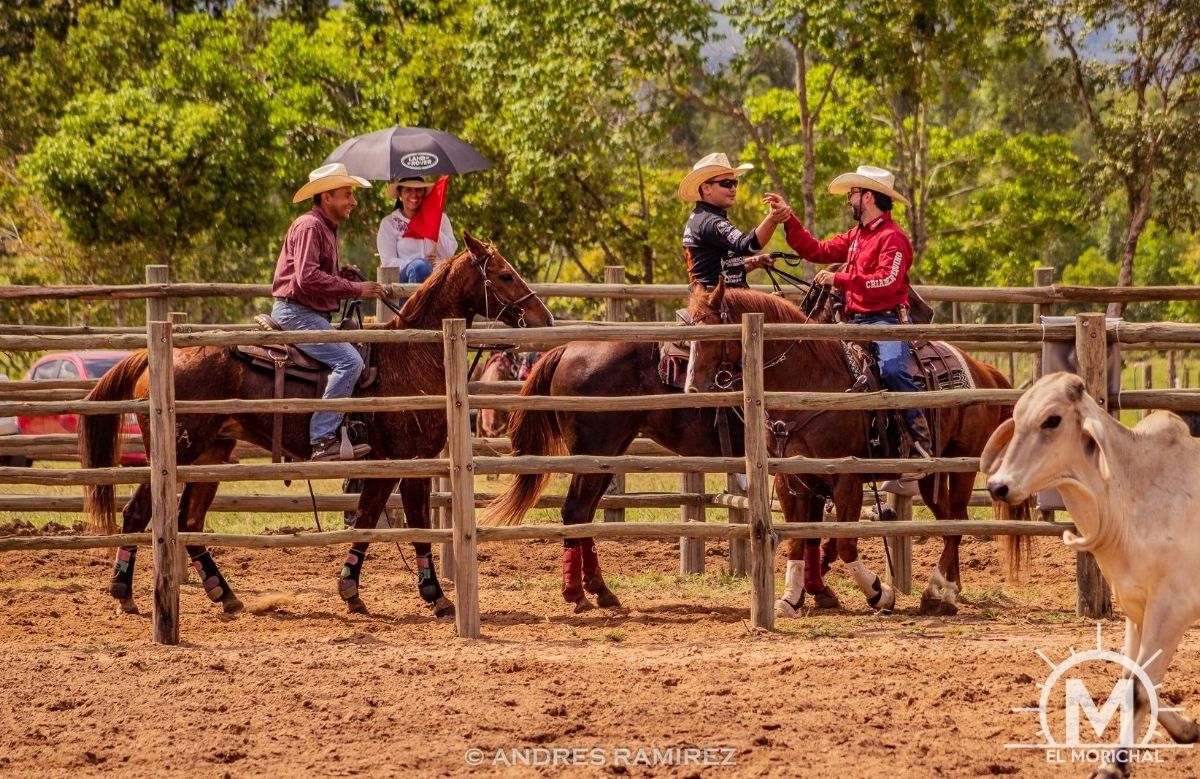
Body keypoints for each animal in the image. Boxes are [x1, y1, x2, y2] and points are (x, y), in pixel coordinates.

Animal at [79, 236, 552, 619]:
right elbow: (413, 522)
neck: (409, 354)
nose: (543, 317)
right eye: (505, 274)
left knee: (189, 521)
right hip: (181, 449)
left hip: (213, 452)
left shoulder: (388, 463)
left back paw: (224, 594)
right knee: (140, 512)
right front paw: (435, 596)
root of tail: (151, 355)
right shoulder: (409, 458)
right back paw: (123, 593)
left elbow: (366, 519)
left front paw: (352, 591)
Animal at [681, 282, 1027, 614]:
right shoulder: (792, 482)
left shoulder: (846, 481)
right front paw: (791, 599)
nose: (691, 390)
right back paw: (944, 592)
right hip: (932, 478)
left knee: (956, 523)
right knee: (949, 522)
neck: (812, 381)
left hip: (961, 465)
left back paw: (938, 591)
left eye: (711, 334)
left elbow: (846, 543)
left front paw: (879, 593)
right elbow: (798, 542)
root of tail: (983, 369)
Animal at [984, 374, 1200, 772]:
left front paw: (1114, 764)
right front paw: (1187, 728)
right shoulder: (1135, 608)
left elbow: (1138, 688)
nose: (998, 486)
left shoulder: (1172, 608)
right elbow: (1130, 677)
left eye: (1052, 420)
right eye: (1017, 417)